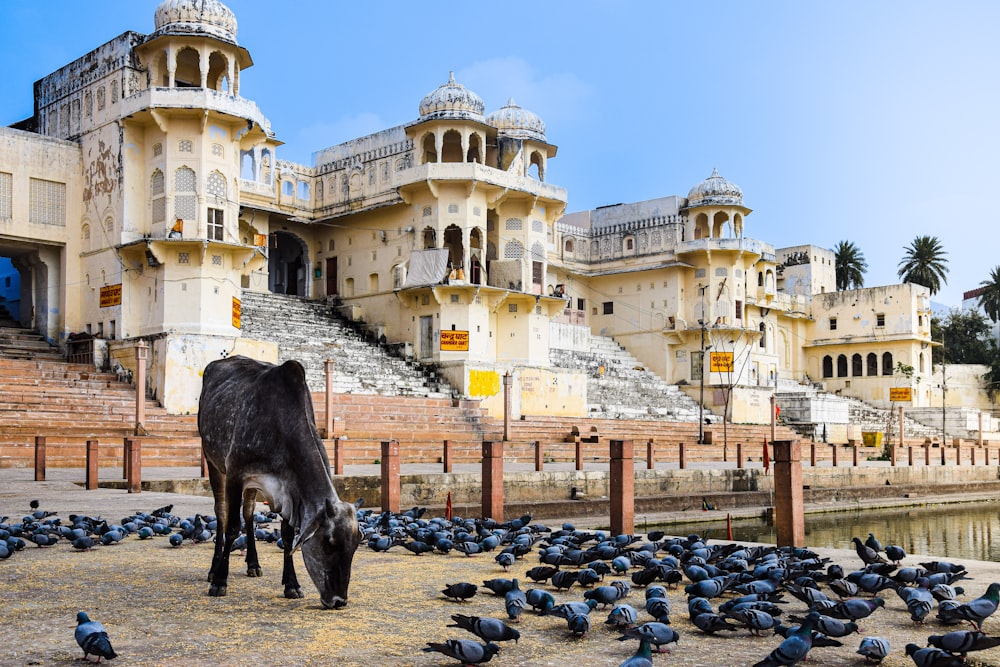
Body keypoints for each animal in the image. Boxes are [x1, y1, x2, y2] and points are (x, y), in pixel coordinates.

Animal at [197, 354, 362, 612]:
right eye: (329, 543)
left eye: (355, 546)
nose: (339, 601)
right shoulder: (235, 474)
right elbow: (232, 527)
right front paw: (220, 582)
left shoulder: (288, 490)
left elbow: (287, 534)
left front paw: (291, 585)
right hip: (213, 461)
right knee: (222, 514)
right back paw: (214, 570)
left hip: (252, 486)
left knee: (249, 513)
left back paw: (253, 564)